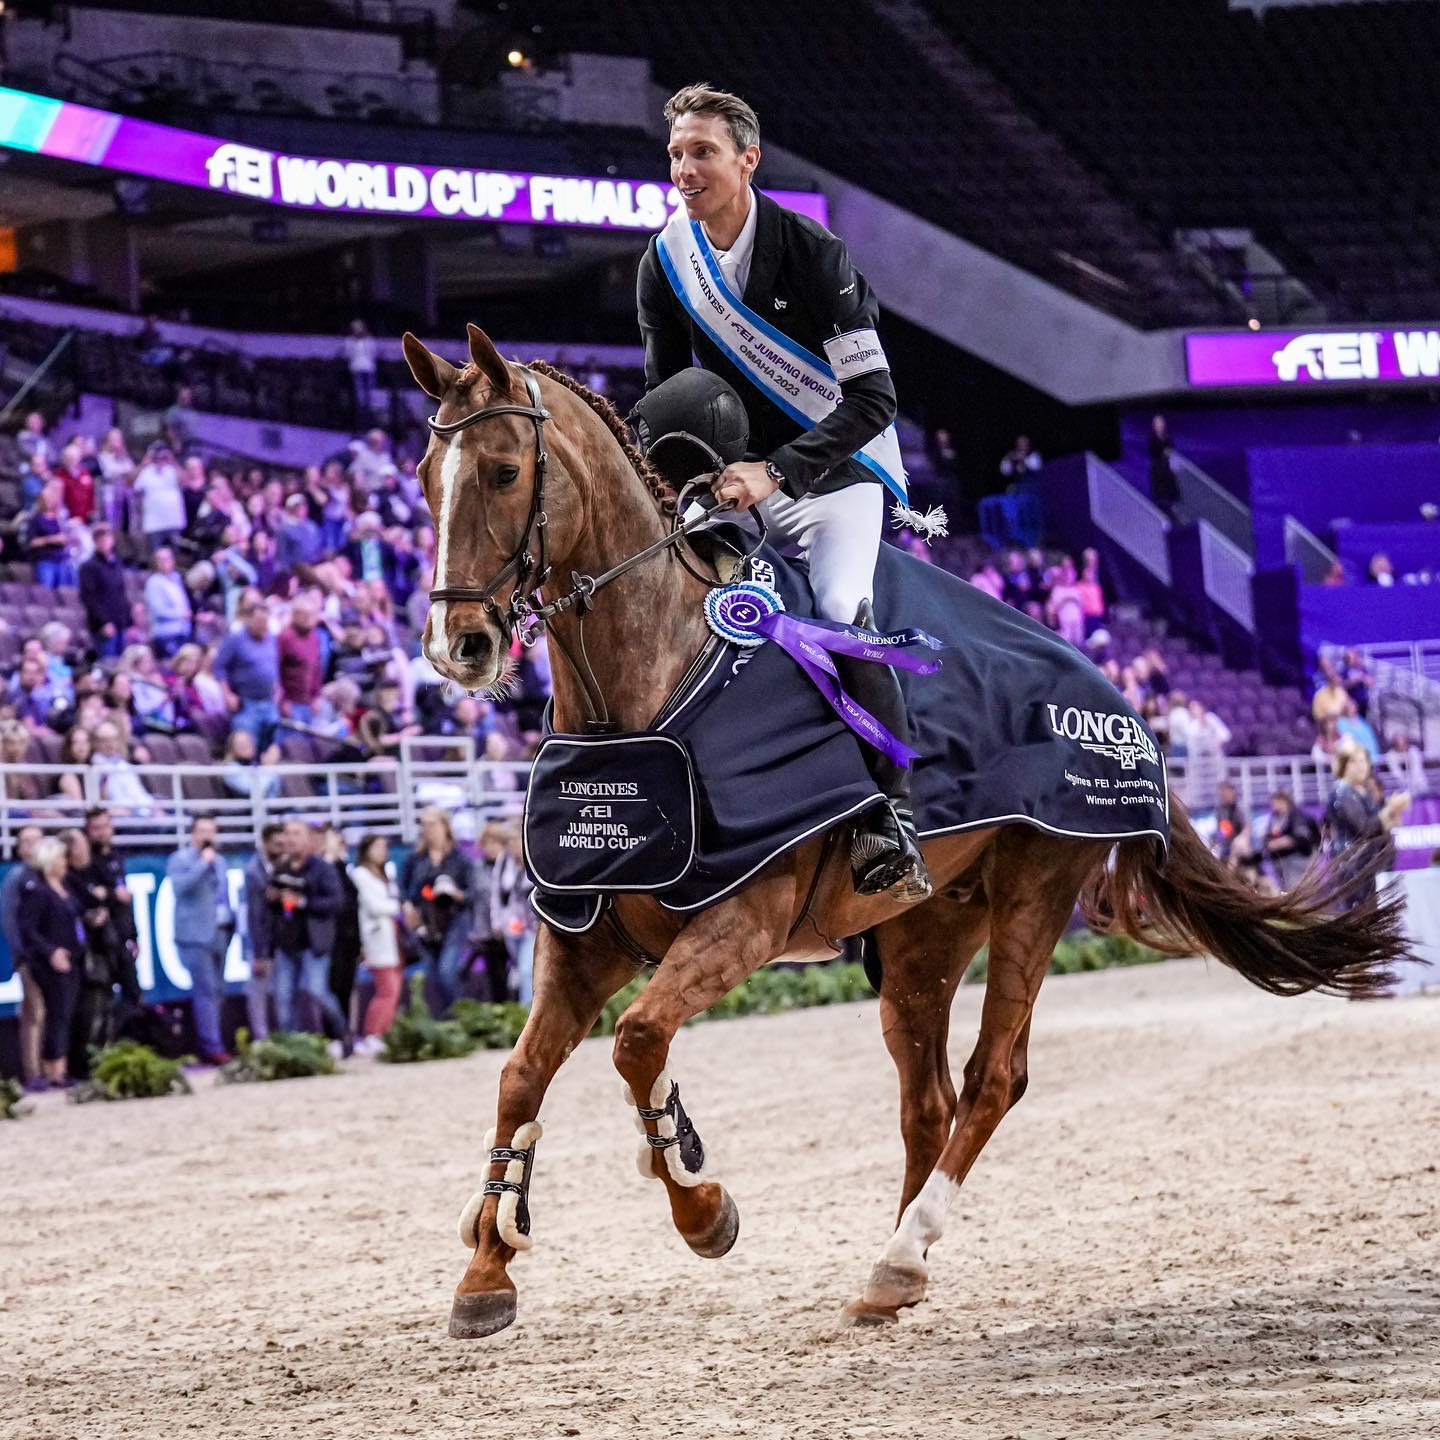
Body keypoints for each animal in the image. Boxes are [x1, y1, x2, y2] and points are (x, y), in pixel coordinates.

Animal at [406, 326, 1405, 1336]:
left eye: (501, 471)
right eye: (422, 475)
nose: (460, 648)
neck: (653, 682)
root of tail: (1121, 703)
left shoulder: (743, 919)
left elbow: (638, 1040)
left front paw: (700, 1202)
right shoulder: (584, 931)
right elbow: (521, 1075)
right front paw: (488, 1266)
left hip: (1038, 885)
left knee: (994, 1077)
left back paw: (902, 1252)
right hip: (926, 935)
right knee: (927, 1101)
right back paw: (893, 1275)